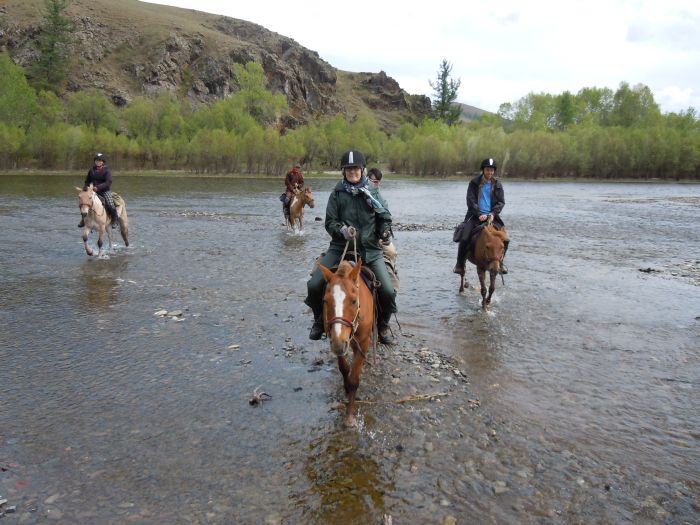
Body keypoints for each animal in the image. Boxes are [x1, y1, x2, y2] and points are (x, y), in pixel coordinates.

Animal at [318, 258, 374, 426]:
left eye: (354, 301)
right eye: (325, 300)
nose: (338, 344)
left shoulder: (363, 344)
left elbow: (354, 379)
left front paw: (350, 416)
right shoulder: (336, 340)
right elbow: (344, 368)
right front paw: (346, 389)